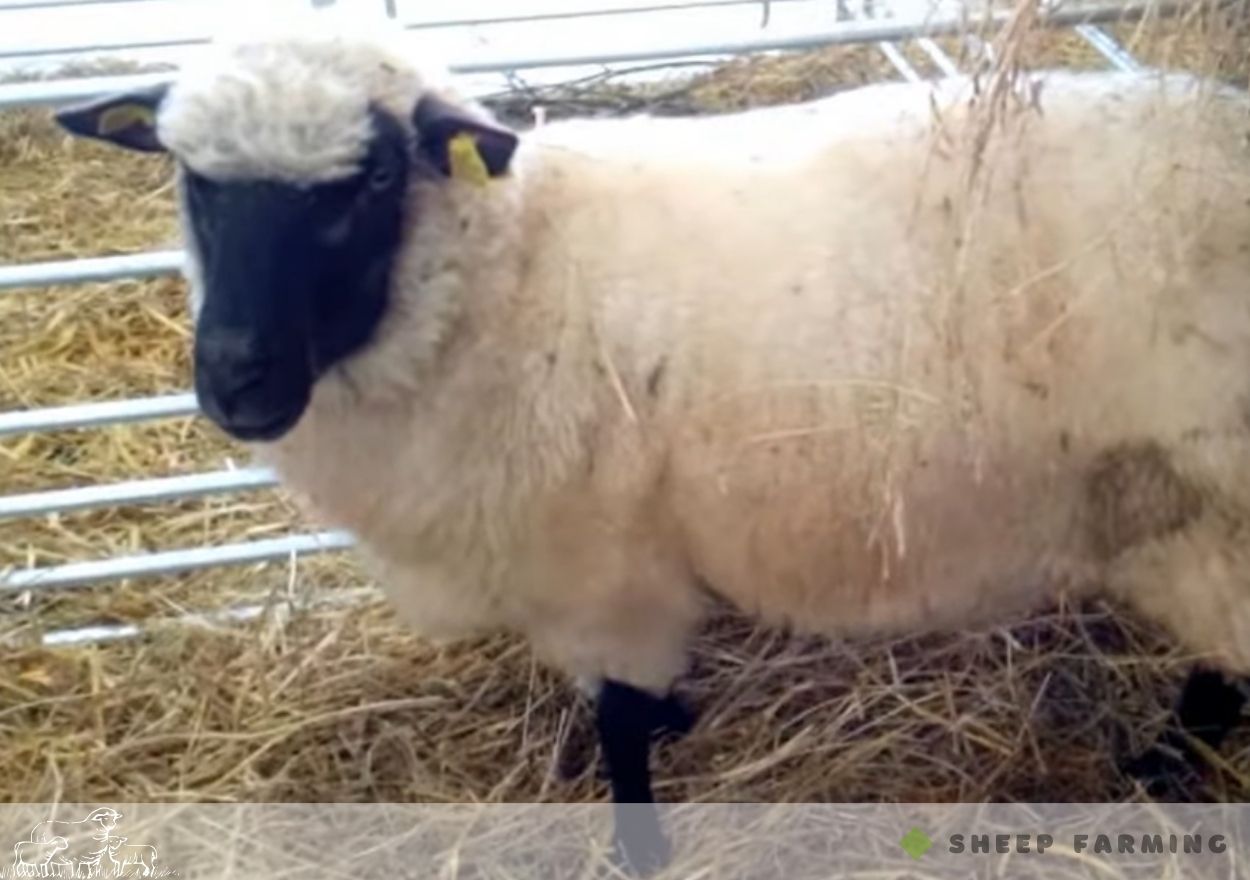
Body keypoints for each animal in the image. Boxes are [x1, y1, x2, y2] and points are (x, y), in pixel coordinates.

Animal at [53, 12, 1250, 875]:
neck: (511, 274)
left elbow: (621, 725)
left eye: (375, 179)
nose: (237, 379)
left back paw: (1158, 768)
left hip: (1207, 501)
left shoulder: (602, 571)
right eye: (194, 179)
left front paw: (638, 836)